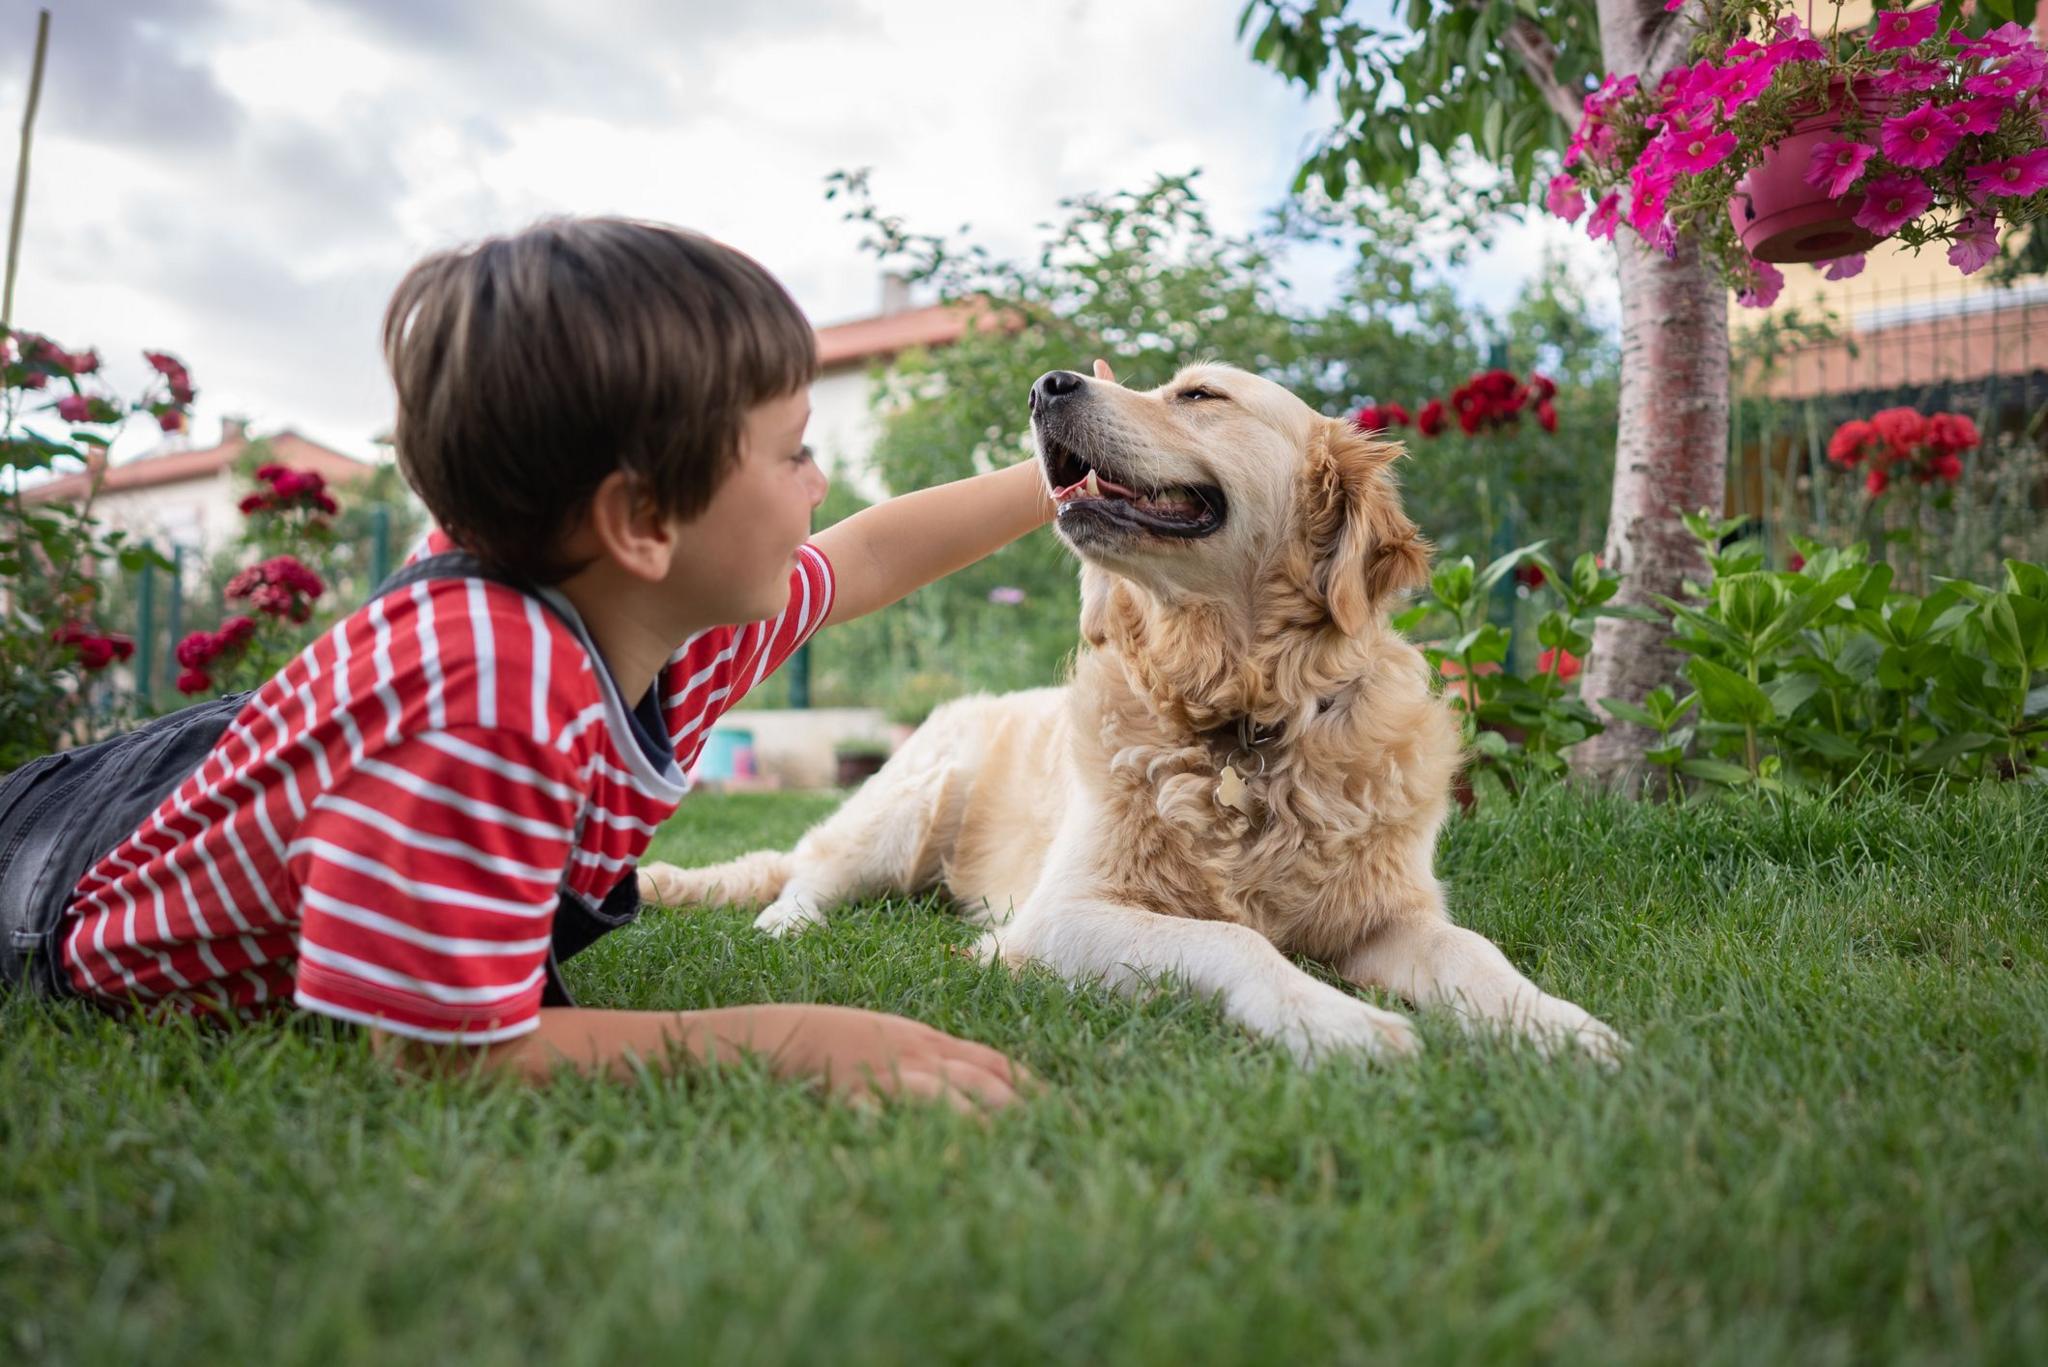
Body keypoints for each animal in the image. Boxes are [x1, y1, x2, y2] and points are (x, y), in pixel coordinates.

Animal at [638, 366, 1613, 1065]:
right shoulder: (1060, 914)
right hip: (912, 807)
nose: (1047, 386)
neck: (1244, 719)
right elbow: (1234, 939)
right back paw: (787, 924)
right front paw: (1339, 1025)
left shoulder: (1389, 915)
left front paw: (1563, 1026)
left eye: (1200, 394)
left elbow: (1475, 953)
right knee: (803, 872)